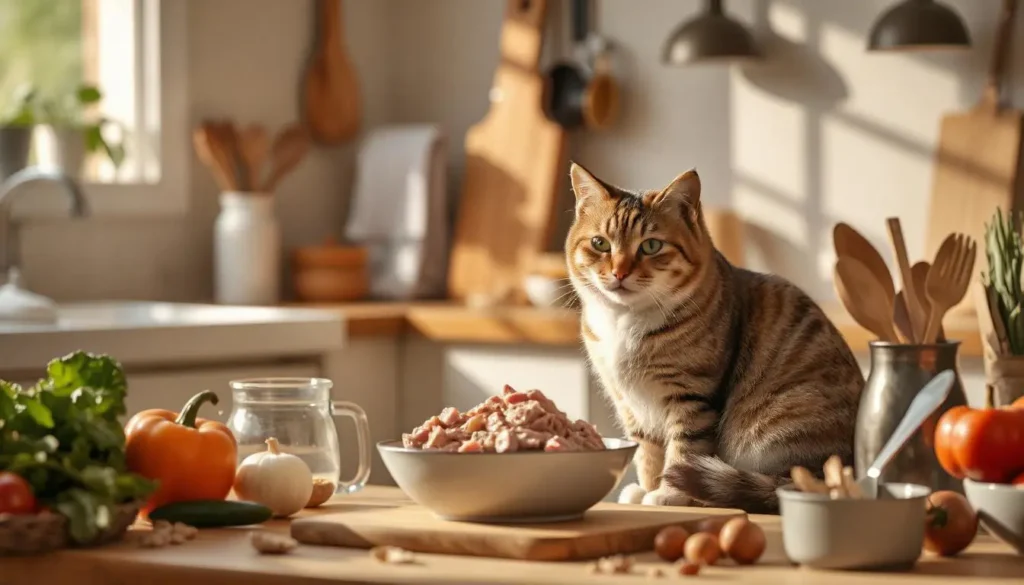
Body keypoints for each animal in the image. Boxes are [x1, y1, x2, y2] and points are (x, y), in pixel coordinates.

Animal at [569, 162, 864, 514]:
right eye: (599, 243)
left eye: (651, 246)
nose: (619, 273)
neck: (626, 321)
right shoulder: (630, 404)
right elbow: (648, 454)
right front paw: (647, 489)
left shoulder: (693, 397)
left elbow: (683, 450)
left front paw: (669, 494)